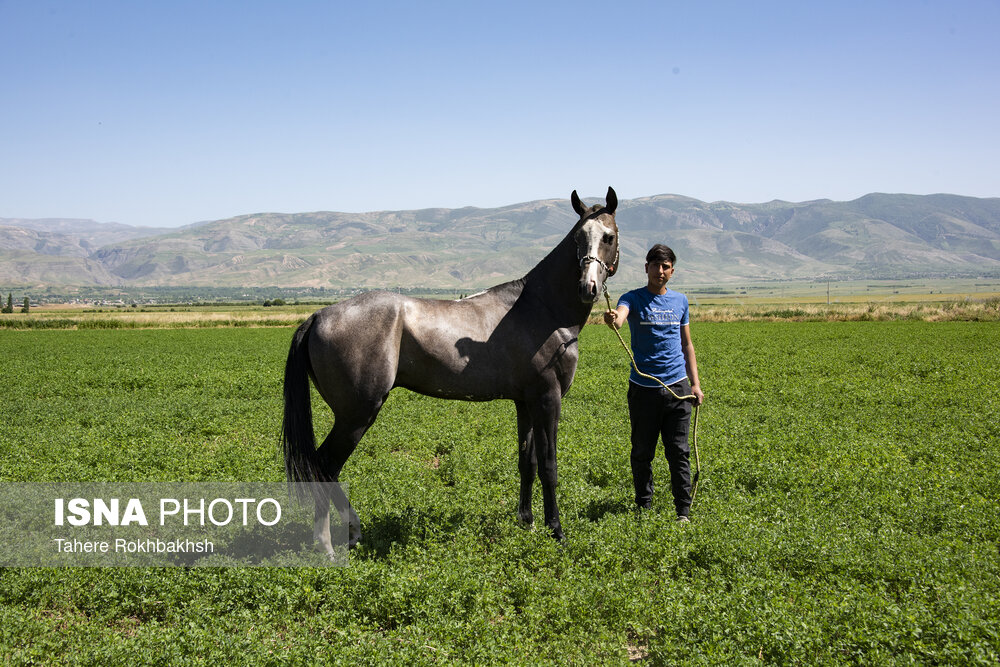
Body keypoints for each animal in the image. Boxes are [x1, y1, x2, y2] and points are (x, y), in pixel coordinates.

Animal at [282, 187, 620, 552]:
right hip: (355, 415)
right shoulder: (548, 399)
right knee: (324, 467)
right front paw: (556, 531)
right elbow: (549, 466)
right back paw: (328, 544)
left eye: (609, 236)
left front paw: (527, 522)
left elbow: (527, 463)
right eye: (577, 238)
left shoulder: (525, 403)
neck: (543, 310)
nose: (587, 287)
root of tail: (317, 316)